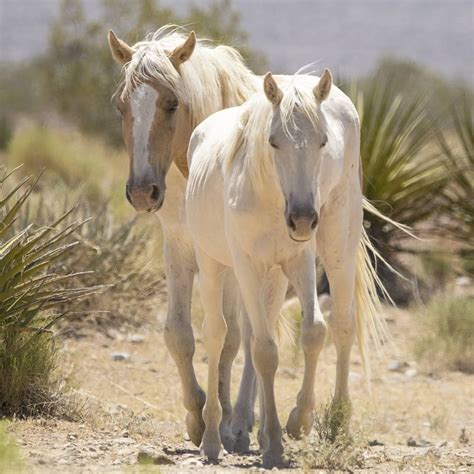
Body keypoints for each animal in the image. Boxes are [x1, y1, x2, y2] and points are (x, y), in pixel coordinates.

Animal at [108, 25, 262, 452]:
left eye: (173, 104)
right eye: (120, 107)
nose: (142, 192)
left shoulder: (227, 262)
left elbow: (229, 340)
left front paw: (224, 425)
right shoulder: (177, 247)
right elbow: (179, 334)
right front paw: (197, 416)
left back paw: (242, 421)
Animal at [185, 71, 388, 466]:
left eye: (323, 141)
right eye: (274, 142)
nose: (303, 218)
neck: (268, 197)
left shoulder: (299, 261)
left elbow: (311, 332)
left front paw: (298, 421)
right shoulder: (246, 266)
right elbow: (264, 350)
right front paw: (274, 444)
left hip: (329, 247)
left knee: (341, 324)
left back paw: (333, 422)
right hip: (214, 263)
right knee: (217, 335)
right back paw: (213, 438)